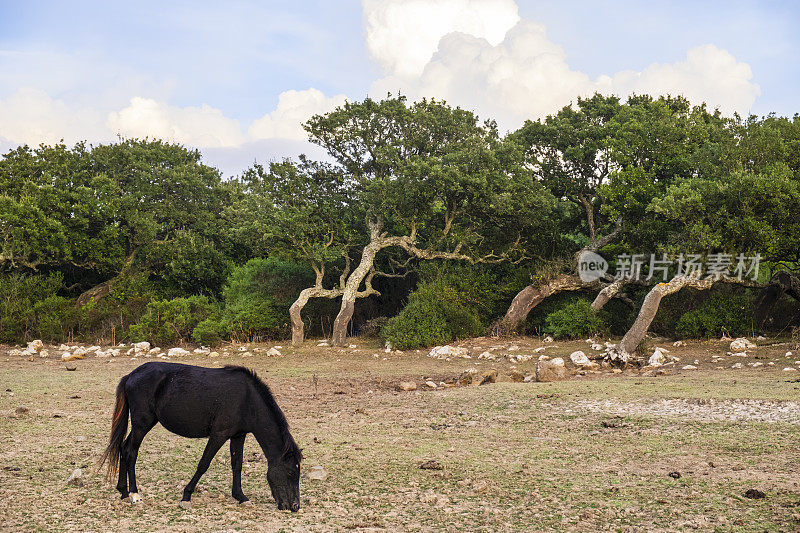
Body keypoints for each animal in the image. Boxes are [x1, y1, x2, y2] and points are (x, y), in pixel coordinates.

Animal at [100, 362, 300, 512]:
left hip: (142, 425)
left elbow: (237, 465)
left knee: (123, 448)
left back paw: (123, 492)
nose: (295, 506)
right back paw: (135, 494)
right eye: (291, 472)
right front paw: (186, 496)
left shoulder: (238, 435)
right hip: (142, 424)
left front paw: (241, 497)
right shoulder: (219, 434)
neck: (247, 399)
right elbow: (204, 463)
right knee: (131, 451)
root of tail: (131, 375)